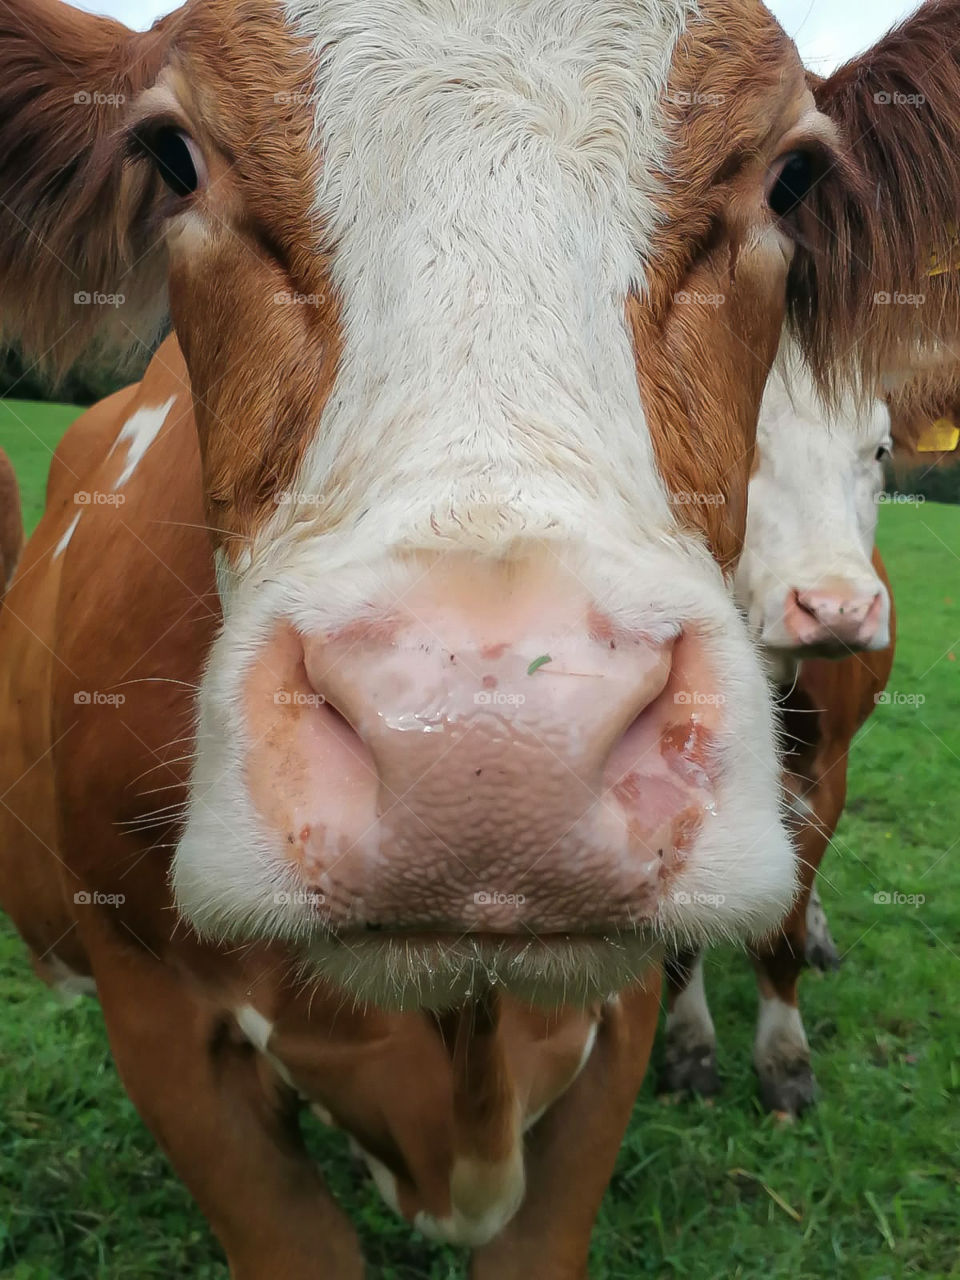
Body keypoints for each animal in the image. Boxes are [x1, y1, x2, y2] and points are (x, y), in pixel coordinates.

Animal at [661, 342, 896, 1114]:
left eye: (879, 449)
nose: (836, 608)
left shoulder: (825, 776)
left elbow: (783, 933)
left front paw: (784, 1060)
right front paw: (689, 1046)